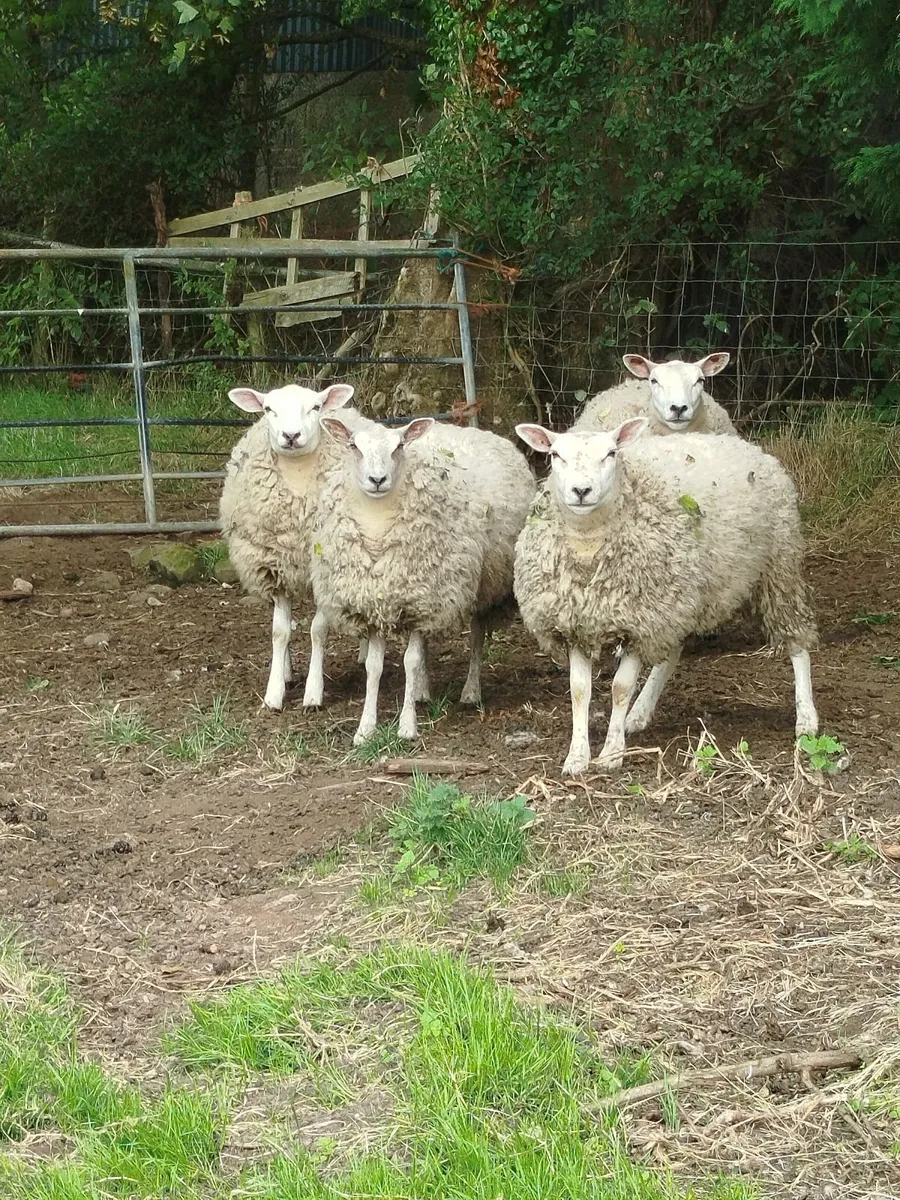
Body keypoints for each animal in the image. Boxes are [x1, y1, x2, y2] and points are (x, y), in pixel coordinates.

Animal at [219, 380, 358, 712]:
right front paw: (274, 693)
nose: (291, 436)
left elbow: (318, 631)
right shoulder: (275, 569)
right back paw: (285, 671)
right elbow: (279, 632)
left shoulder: (324, 571)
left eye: (316, 407)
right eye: (269, 408)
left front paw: (313, 694)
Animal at [311, 415, 535, 745]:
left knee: (477, 636)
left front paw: (407, 727)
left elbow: (410, 661)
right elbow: (374, 667)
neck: (376, 525)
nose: (377, 480)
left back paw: (470, 691)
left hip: (482, 585)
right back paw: (421, 691)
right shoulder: (376, 603)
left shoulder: (424, 601)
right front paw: (365, 729)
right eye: (354, 446)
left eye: (399, 446)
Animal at [513, 420, 818, 775]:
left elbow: (620, 688)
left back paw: (806, 718)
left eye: (611, 453)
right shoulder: (574, 624)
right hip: (683, 596)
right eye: (555, 455)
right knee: (671, 653)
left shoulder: (639, 620)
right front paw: (577, 756)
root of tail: (747, 446)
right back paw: (639, 713)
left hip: (778, 566)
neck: (588, 545)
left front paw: (612, 753)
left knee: (796, 641)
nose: (581, 491)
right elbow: (579, 691)